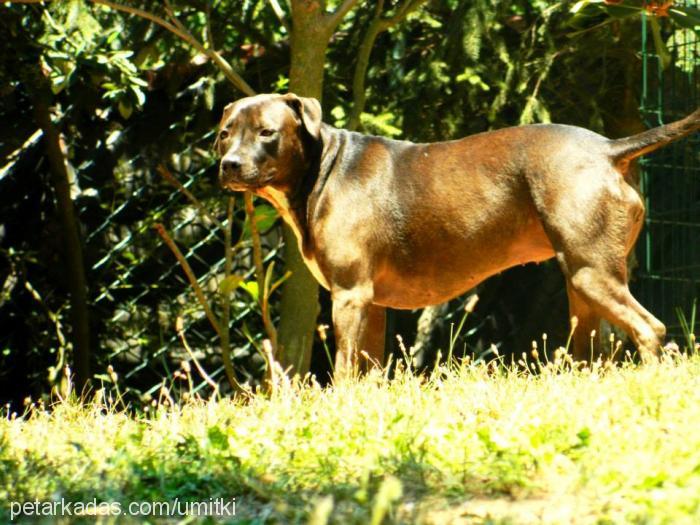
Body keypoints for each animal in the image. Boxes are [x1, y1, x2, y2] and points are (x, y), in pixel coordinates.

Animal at [215, 93, 700, 372]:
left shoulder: (350, 296)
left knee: (650, 328)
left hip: (591, 274)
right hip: (581, 284)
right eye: (224, 133)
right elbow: (368, 369)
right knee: (591, 349)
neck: (325, 166)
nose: (229, 165)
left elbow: (345, 369)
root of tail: (608, 148)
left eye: (267, 132)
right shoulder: (370, 302)